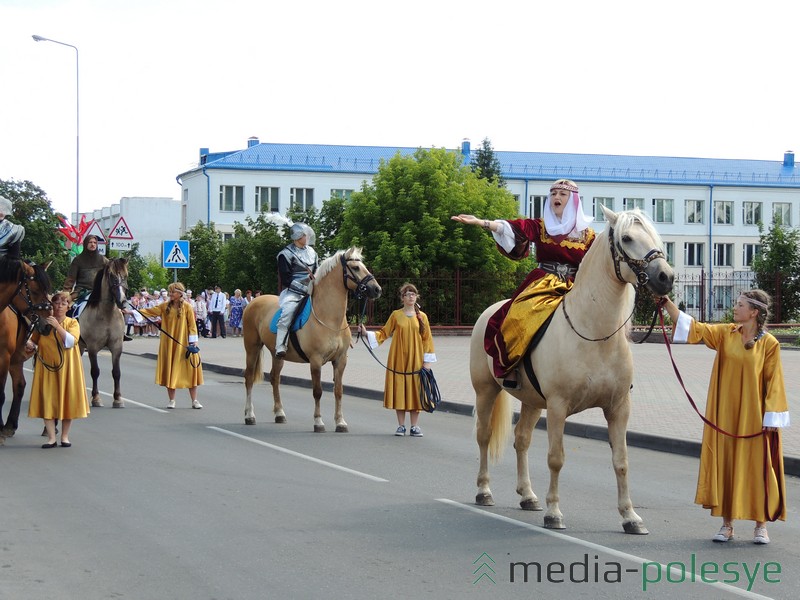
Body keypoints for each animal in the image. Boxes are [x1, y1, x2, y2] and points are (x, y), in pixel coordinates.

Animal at [0, 255, 53, 442]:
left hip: (14, 358)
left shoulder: (3, 357)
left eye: (49, 290)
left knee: (19, 385)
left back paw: (9, 425)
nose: (48, 325)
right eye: (35, 291)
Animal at [79, 258, 129, 408]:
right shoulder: (92, 348)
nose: (123, 302)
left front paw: (118, 399)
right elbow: (95, 371)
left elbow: (116, 372)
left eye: (125, 276)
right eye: (112, 276)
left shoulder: (116, 347)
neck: (106, 315)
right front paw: (96, 398)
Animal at [241, 247, 382, 432]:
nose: (377, 289)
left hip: (277, 355)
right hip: (252, 348)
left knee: (274, 378)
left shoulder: (340, 360)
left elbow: (338, 391)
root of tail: (254, 301)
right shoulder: (316, 360)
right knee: (249, 378)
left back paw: (279, 413)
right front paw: (318, 422)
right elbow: (317, 391)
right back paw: (249, 415)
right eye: (355, 267)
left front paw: (340, 422)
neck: (329, 318)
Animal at [476, 207, 676, 536]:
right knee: (483, 436)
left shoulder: (619, 408)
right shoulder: (558, 407)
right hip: (486, 391)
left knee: (522, 439)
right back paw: (484, 491)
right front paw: (555, 513)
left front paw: (630, 517)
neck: (596, 334)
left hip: (532, 401)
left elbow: (621, 461)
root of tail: (489, 310)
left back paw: (528, 495)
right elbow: (556, 459)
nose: (666, 277)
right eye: (627, 238)